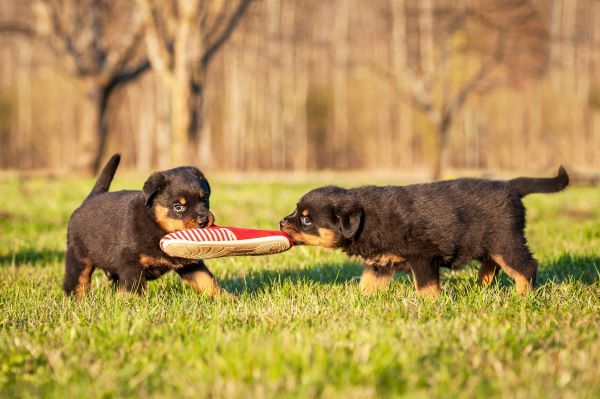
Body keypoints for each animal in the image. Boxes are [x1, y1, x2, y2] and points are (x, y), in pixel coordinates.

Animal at [63, 155, 231, 298]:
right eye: (178, 207)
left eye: (205, 199)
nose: (203, 220)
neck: (157, 226)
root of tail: (90, 198)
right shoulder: (131, 263)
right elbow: (133, 289)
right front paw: (133, 305)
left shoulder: (190, 262)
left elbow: (206, 280)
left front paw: (227, 298)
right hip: (78, 256)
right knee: (77, 280)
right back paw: (77, 299)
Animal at [278, 167, 568, 298]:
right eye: (296, 212)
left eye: (306, 219)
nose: (281, 223)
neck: (367, 220)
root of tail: (510, 186)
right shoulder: (381, 262)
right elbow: (368, 282)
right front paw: (361, 300)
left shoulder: (423, 257)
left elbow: (426, 286)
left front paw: (430, 305)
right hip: (488, 243)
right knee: (491, 265)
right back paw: (480, 287)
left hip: (505, 241)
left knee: (525, 266)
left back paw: (522, 296)